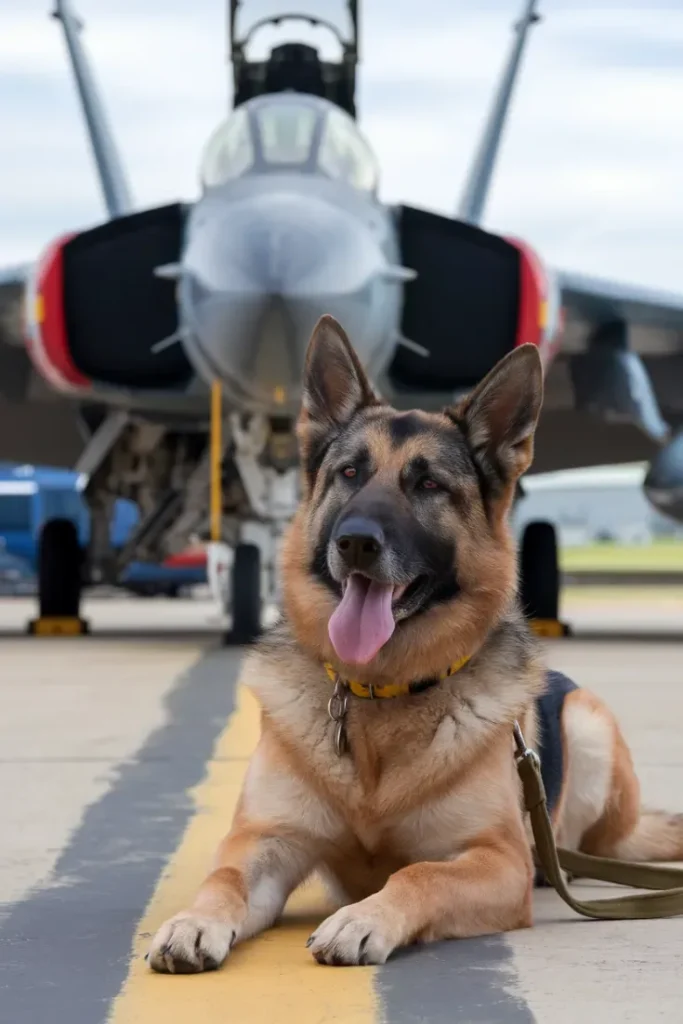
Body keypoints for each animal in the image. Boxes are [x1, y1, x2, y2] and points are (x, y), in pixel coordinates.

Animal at [148, 315, 683, 970]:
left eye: (428, 484)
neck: (379, 694)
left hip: (586, 726)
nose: (355, 542)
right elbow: (224, 877)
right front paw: (195, 920)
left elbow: (418, 874)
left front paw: (363, 918)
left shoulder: (497, 861)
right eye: (349, 473)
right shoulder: (267, 841)